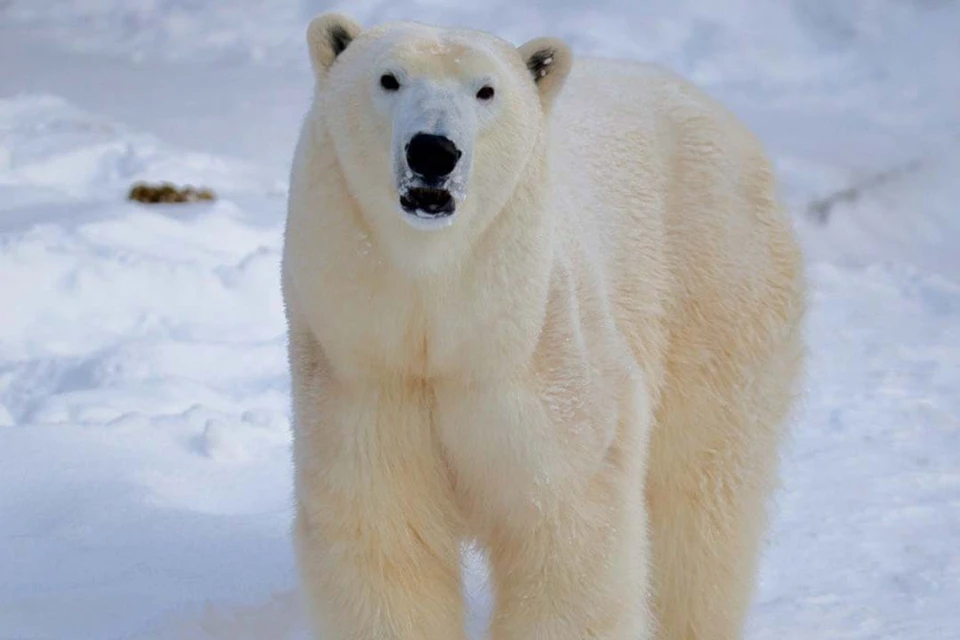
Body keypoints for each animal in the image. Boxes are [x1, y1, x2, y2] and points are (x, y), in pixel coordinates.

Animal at [282, 11, 808, 640]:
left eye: (486, 90)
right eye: (389, 78)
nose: (433, 150)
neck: (446, 324)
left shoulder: (545, 368)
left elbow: (566, 538)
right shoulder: (364, 377)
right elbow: (386, 544)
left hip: (714, 286)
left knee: (701, 501)